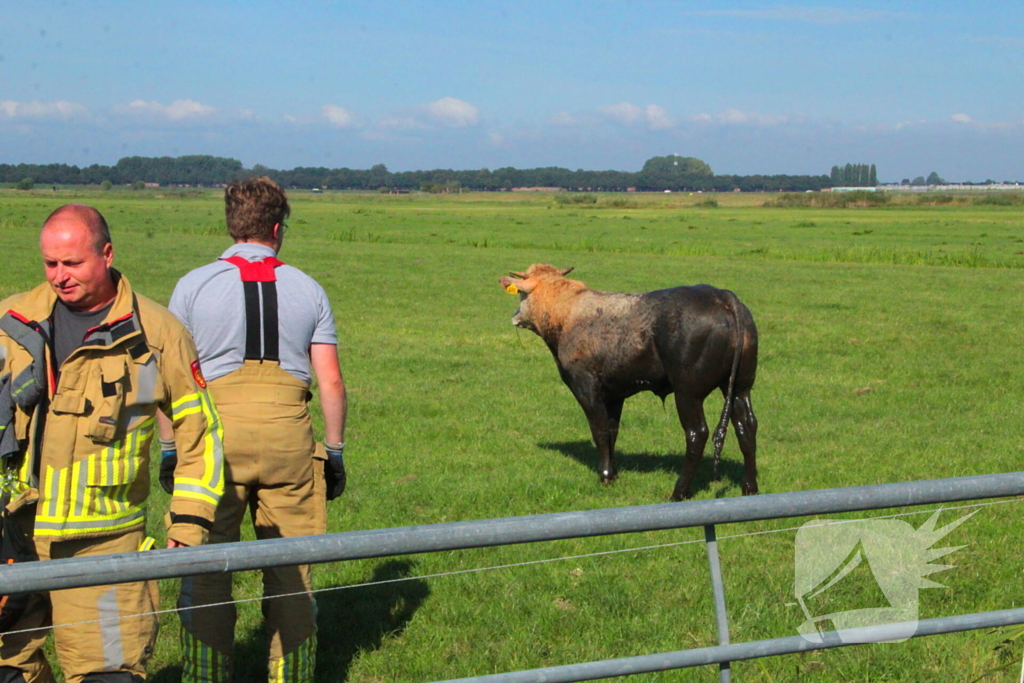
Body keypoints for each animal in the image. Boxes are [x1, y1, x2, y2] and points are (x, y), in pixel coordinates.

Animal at [499, 264, 757, 499]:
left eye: (521, 294)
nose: (514, 317)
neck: (567, 312)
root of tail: (720, 295)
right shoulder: (615, 392)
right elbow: (612, 430)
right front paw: (613, 473)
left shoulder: (585, 385)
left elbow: (600, 430)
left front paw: (604, 476)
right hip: (740, 387)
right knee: (746, 426)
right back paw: (750, 488)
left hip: (688, 391)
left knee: (697, 433)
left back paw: (679, 492)